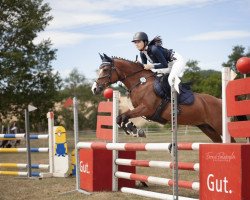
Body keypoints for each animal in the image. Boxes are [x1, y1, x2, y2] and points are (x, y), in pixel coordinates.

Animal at [92, 54, 225, 143]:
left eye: (105, 69)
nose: (94, 88)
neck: (141, 83)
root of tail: (220, 101)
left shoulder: (147, 109)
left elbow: (124, 115)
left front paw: (135, 131)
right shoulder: (140, 110)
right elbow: (120, 118)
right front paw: (133, 130)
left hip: (218, 125)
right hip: (207, 128)